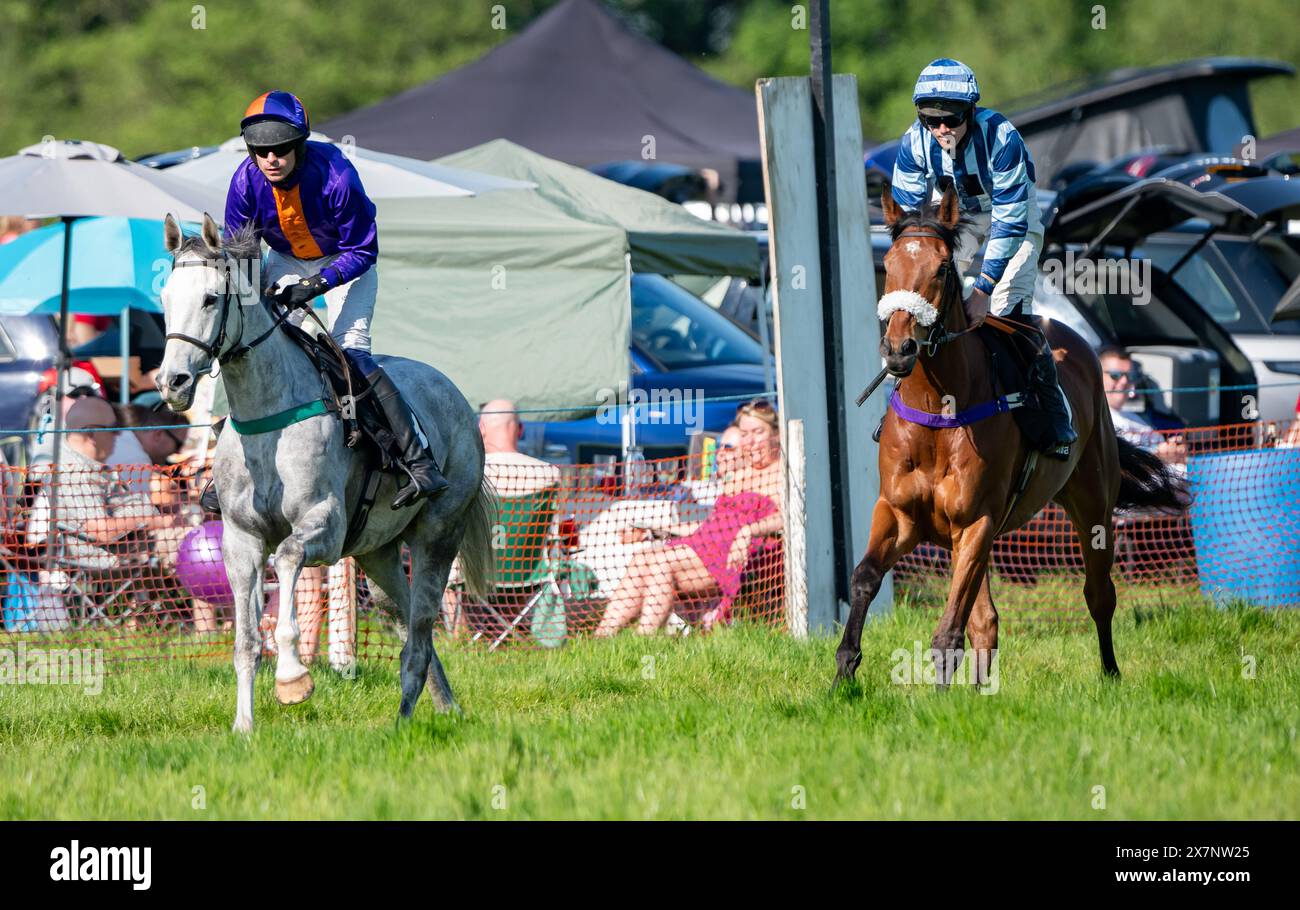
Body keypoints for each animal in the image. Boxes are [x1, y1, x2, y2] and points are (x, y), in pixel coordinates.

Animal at [153, 214, 496, 733]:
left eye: (211, 298)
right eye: (166, 298)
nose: (172, 383)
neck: (268, 420)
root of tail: (454, 393)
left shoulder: (325, 527)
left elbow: (287, 561)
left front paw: (293, 678)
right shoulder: (240, 540)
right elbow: (246, 641)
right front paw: (243, 727)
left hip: (438, 534)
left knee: (418, 635)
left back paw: (403, 721)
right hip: (377, 555)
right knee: (409, 624)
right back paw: (444, 707)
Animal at [832, 187, 1190, 691]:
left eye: (942, 268)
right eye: (889, 263)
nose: (899, 349)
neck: (938, 413)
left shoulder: (977, 521)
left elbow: (949, 630)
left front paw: (937, 695)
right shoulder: (900, 514)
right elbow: (864, 577)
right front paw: (843, 672)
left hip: (1093, 505)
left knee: (1099, 595)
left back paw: (1110, 674)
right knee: (986, 621)